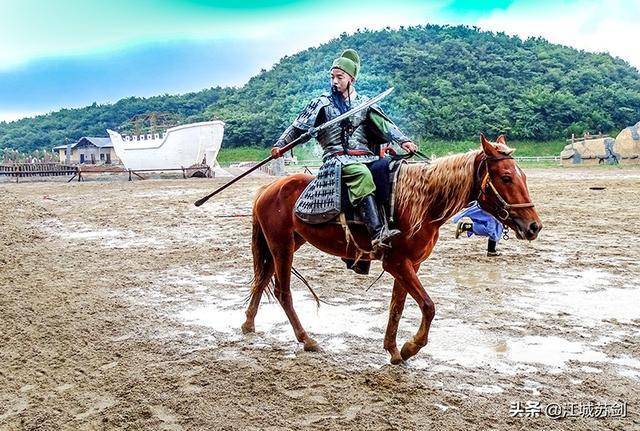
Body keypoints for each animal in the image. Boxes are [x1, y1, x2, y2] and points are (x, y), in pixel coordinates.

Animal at [242, 135, 544, 364]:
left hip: (286, 244)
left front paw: (394, 349)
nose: (533, 226)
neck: (423, 202)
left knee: (262, 279)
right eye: (506, 177)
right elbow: (428, 306)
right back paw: (306, 339)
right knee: (282, 292)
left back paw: (248, 325)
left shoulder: (410, 264)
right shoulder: (398, 263)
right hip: (282, 247)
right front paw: (411, 346)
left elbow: (397, 306)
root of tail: (268, 188)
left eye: (522, 176)